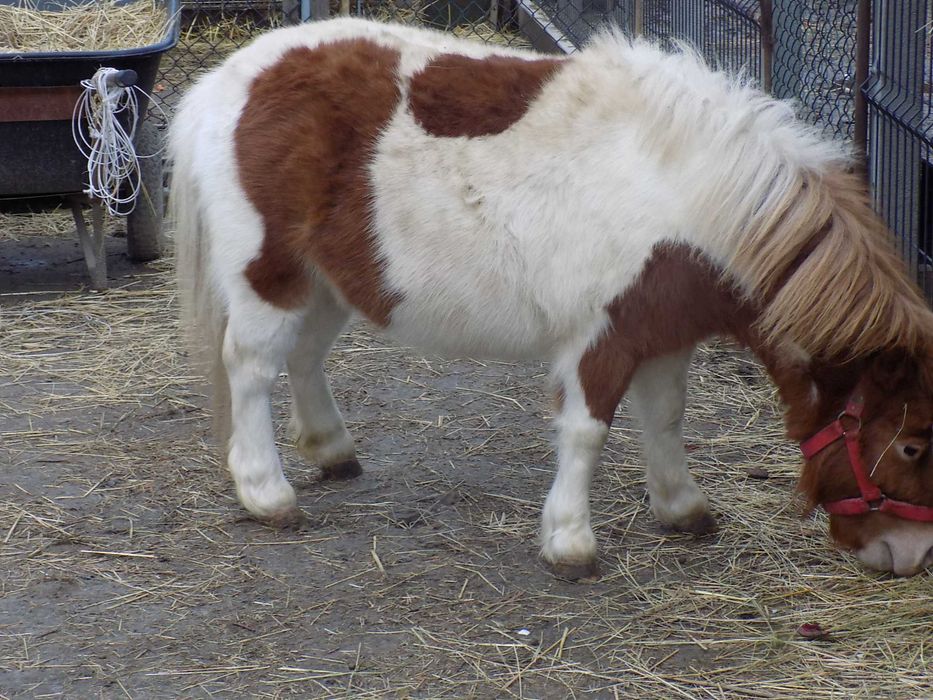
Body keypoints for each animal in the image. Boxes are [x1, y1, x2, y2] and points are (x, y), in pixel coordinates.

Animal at [171, 20, 932, 580]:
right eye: (914, 445)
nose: (906, 557)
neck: (688, 195)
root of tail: (224, 83)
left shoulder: (665, 334)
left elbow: (665, 419)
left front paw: (681, 508)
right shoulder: (600, 337)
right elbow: (587, 430)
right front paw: (570, 542)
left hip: (328, 280)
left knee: (303, 357)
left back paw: (333, 451)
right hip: (270, 274)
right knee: (250, 367)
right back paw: (267, 494)